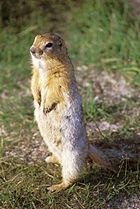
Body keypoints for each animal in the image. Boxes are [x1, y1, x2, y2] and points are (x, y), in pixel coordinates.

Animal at [30, 33, 113, 192]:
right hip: (51, 145)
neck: (43, 65)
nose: (32, 50)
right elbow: (34, 83)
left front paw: (46, 107)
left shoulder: (61, 76)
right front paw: (38, 99)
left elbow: (55, 90)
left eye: (49, 45)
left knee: (72, 176)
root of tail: (88, 147)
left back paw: (56, 187)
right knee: (59, 159)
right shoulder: (35, 73)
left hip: (72, 156)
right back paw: (50, 158)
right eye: (35, 38)